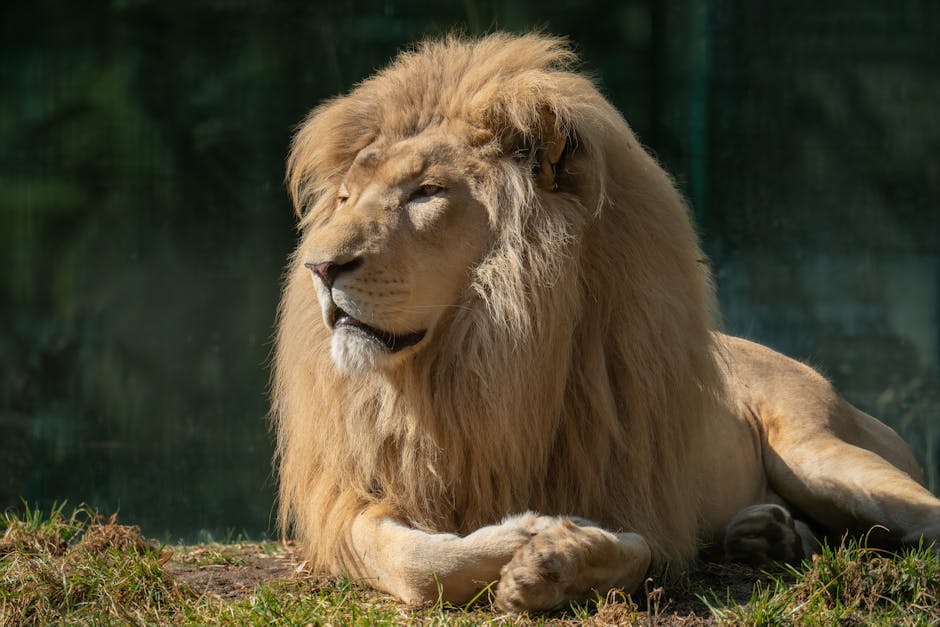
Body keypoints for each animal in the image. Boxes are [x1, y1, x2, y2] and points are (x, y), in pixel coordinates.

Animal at [272, 33, 940, 612]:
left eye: (426, 192)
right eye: (344, 199)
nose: (321, 267)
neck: (470, 369)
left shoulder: (641, 500)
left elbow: (636, 549)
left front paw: (554, 556)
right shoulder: (352, 498)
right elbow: (414, 563)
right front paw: (527, 539)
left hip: (819, 452)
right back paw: (768, 535)